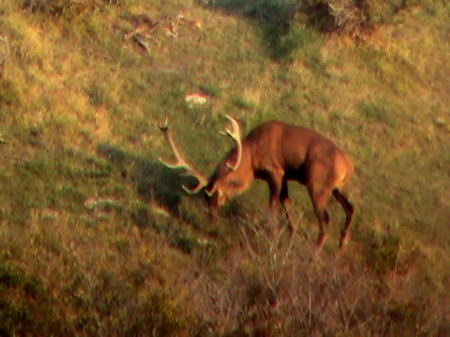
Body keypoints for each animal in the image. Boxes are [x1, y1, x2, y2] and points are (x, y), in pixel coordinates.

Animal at [158, 115, 356, 249]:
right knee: (350, 208)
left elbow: (273, 206)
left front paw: (272, 237)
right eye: (205, 198)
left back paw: (314, 255)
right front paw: (291, 235)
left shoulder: (275, 171)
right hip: (336, 189)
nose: (211, 221)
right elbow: (286, 202)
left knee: (326, 220)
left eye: (216, 196)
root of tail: (348, 166)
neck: (252, 159)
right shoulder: (284, 175)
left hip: (318, 186)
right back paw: (341, 245)